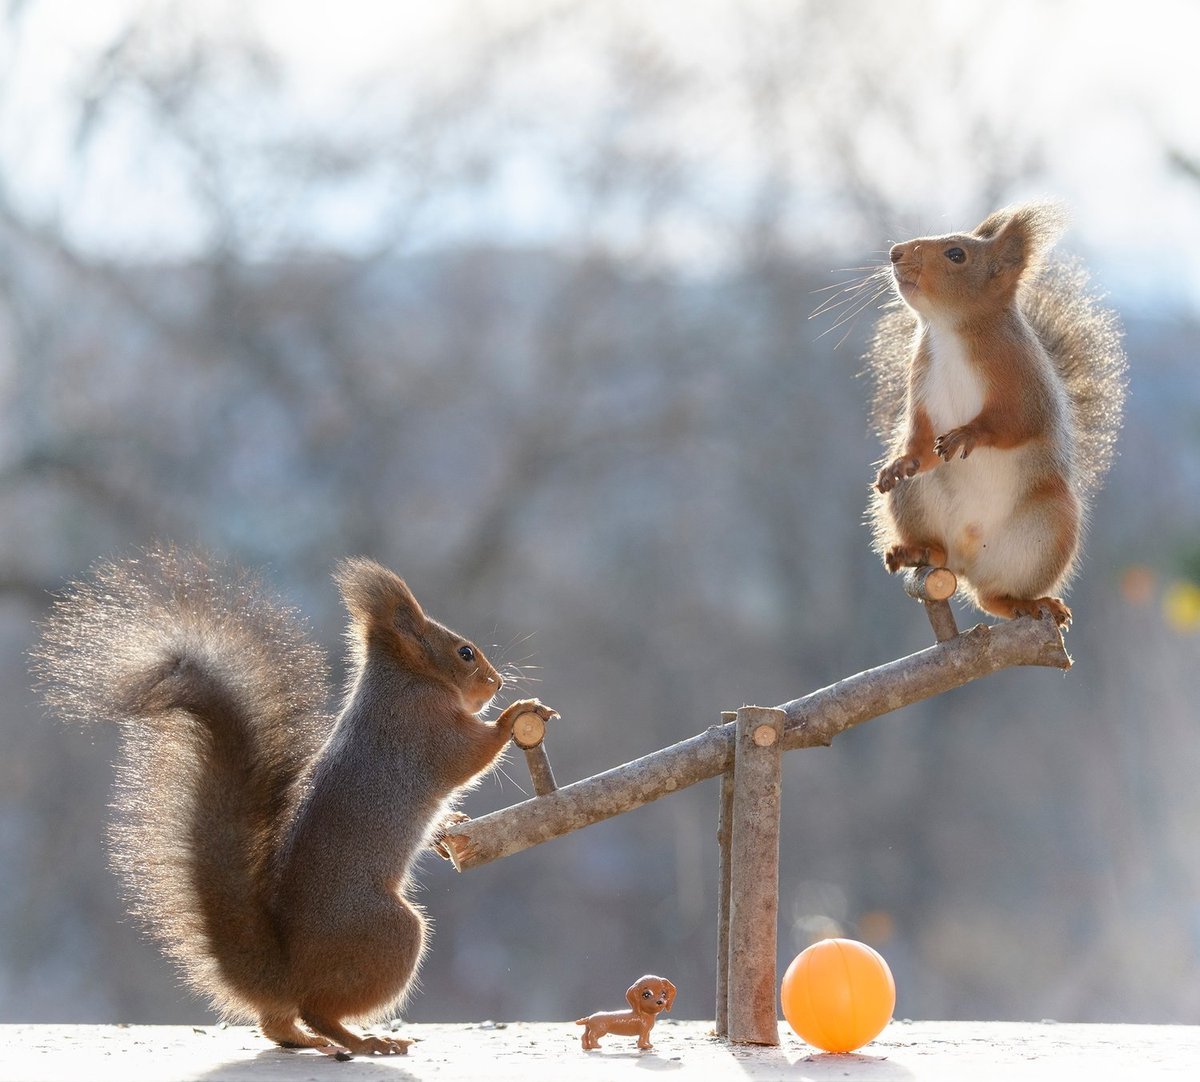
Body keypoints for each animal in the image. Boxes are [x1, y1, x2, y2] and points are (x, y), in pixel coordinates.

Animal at [32, 546, 556, 1055]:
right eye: (465, 653)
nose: (498, 683)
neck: (408, 680)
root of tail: (286, 970)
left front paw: (451, 828)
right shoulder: (426, 730)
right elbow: (470, 755)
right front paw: (515, 714)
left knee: (278, 1023)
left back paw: (305, 1040)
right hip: (388, 933)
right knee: (316, 1008)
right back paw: (365, 1041)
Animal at [864, 203, 1123, 628]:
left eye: (956, 254)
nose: (895, 253)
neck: (950, 332)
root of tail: (966, 560)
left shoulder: (1026, 385)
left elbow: (1013, 424)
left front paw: (968, 434)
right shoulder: (921, 386)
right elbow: (922, 440)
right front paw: (900, 461)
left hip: (1049, 529)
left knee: (994, 597)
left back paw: (1032, 603)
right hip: (915, 499)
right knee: (945, 557)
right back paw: (918, 551)